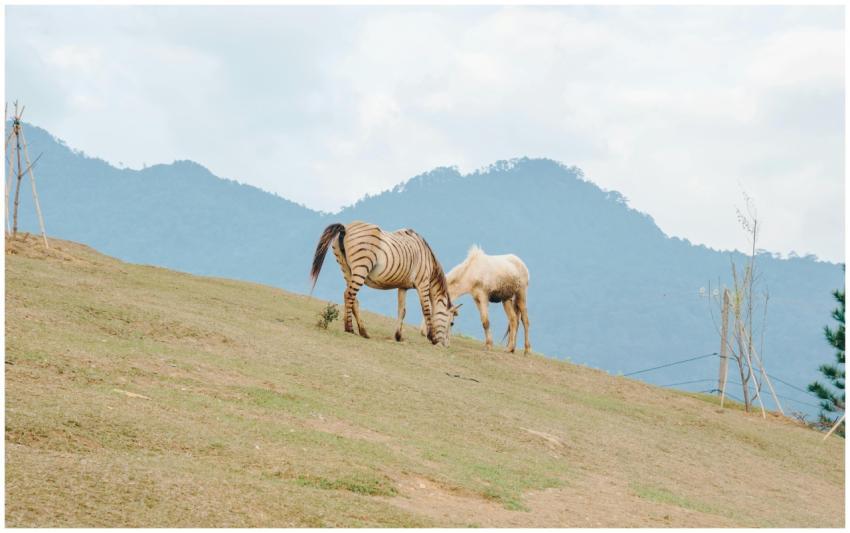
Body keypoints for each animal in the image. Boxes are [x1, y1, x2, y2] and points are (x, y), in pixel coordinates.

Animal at [310, 221, 461, 346]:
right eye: (452, 323)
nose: (446, 346)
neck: (428, 259)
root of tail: (345, 228)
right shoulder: (422, 283)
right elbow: (427, 310)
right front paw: (432, 338)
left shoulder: (403, 286)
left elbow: (402, 311)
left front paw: (398, 336)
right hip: (361, 267)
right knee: (349, 295)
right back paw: (349, 328)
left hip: (346, 269)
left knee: (352, 298)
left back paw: (363, 331)